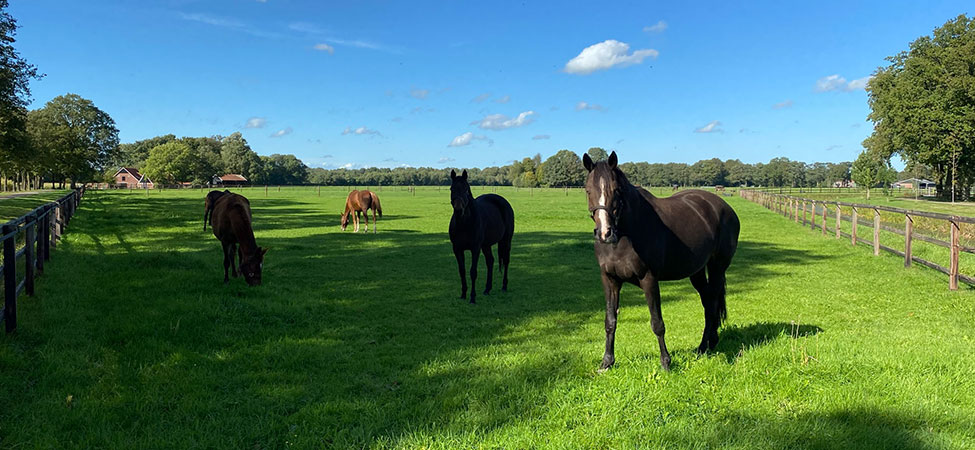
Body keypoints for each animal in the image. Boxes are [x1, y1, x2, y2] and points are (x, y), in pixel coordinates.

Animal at [580, 151, 740, 370]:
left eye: (616, 190)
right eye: (588, 190)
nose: (605, 233)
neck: (625, 235)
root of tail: (725, 207)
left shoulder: (649, 279)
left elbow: (657, 323)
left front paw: (665, 362)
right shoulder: (610, 280)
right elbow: (610, 321)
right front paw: (607, 362)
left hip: (717, 267)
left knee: (713, 301)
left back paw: (707, 344)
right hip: (697, 271)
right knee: (708, 301)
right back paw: (704, 346)